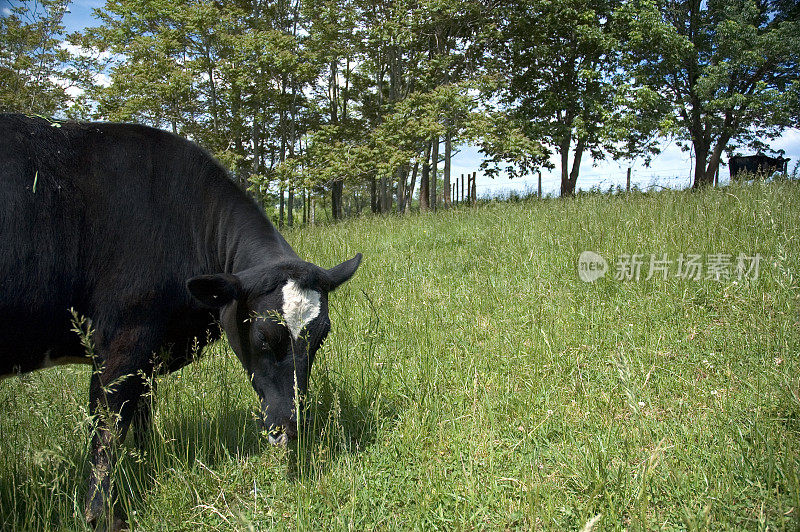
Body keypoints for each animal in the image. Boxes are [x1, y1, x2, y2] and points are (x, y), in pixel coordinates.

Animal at [0, 114, 362, 528]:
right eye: (263, 337)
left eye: (321, 338)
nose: (291, 426)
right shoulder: (122, 344)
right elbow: (107, 430)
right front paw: (103, 517)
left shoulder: (146, 355)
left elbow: (141, 419)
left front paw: (150, 470)